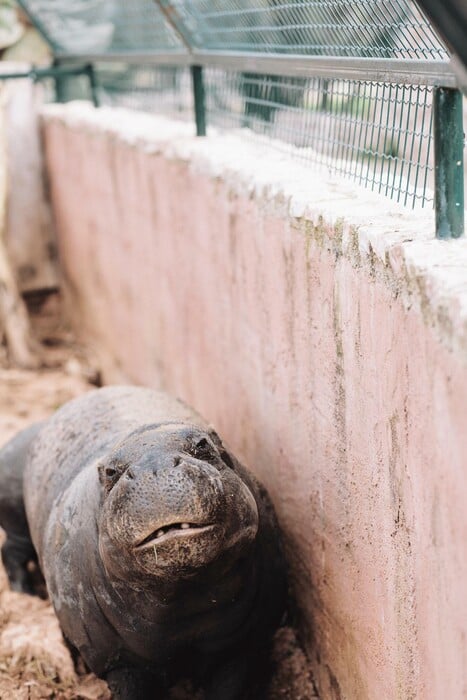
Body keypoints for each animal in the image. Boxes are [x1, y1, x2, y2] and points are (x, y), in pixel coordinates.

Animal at [0, 386, 286, 696]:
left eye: (202, 445)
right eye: (110, 472)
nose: (155, 466)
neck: (185, 600)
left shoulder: (240, 644)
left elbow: (230, 686)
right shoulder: (120, 661)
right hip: (15, 515)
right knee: (12, 551)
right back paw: (27, 596)